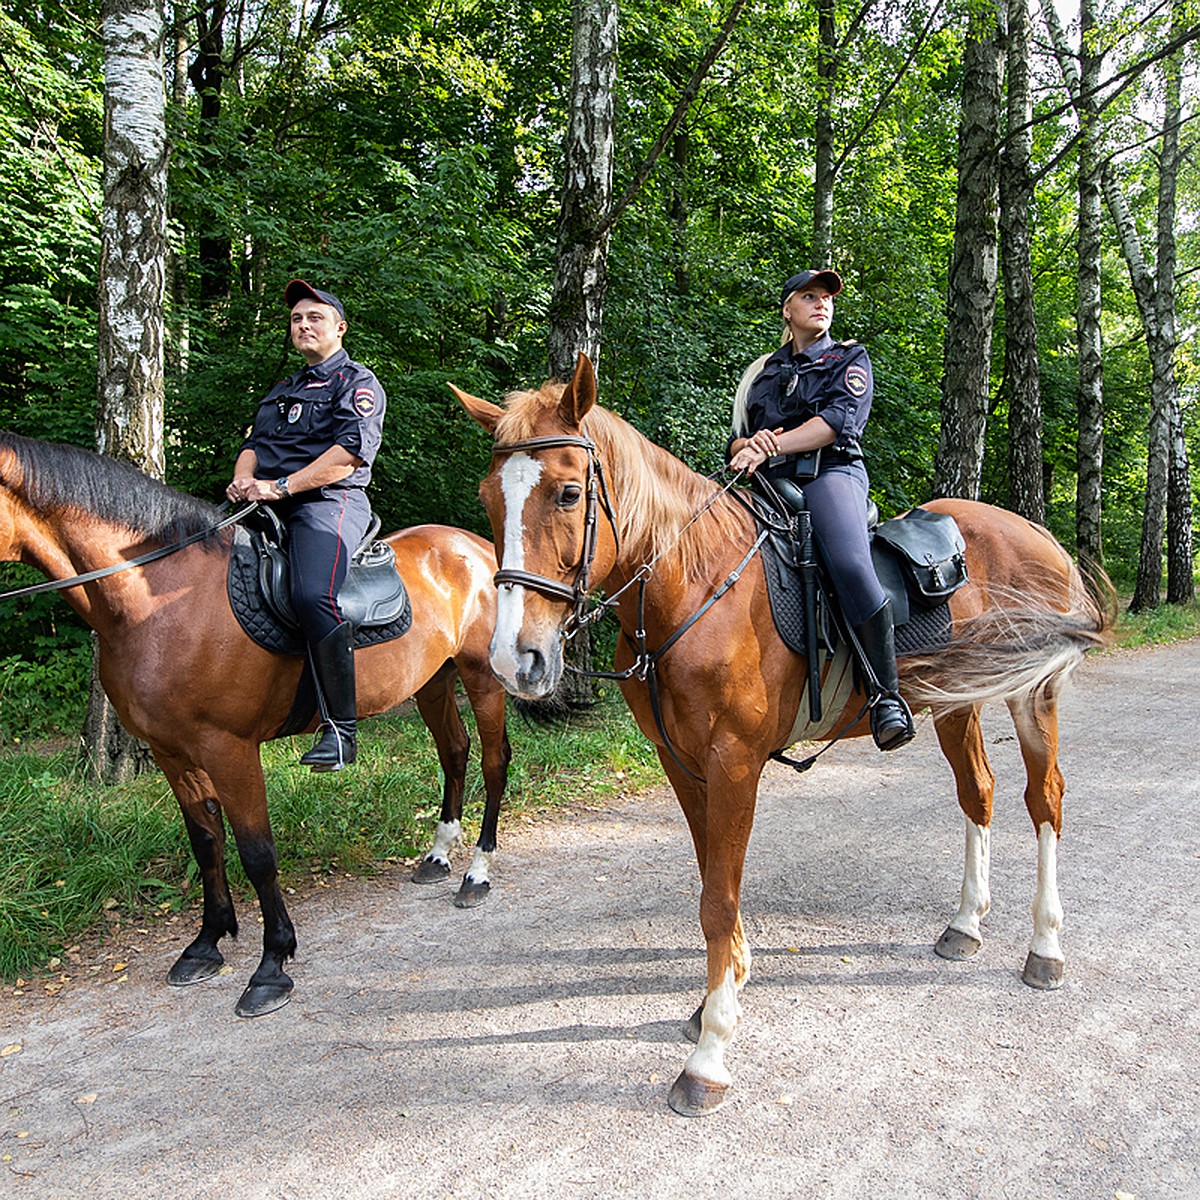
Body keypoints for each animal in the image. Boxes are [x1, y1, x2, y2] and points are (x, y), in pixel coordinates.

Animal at [0, 432, 511, 1012]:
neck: (156, 599)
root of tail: (474, 546)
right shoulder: (172, 753)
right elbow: (206, 844)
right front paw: (206, 944)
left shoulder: (230, 749)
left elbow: (257, 853)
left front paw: (272, 966)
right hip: (432, 681)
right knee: (454, 751)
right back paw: (439, 855)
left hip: (482, 678)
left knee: (493, 762)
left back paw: (476, 873)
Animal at [451, 352, 1113, 1113]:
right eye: (489, 499)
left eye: (566, 493)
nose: (516, 660)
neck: (694, 580)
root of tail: (1040, 536)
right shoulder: (682, 762)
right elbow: (713, 882)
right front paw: (717, 995)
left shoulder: (735, 761)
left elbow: (718, 899)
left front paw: (710, 1053)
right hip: (958, 702)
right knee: (979, 793)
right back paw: (966, 925)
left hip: (1034, 695)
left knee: (1045, 801)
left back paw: (1045, 948)